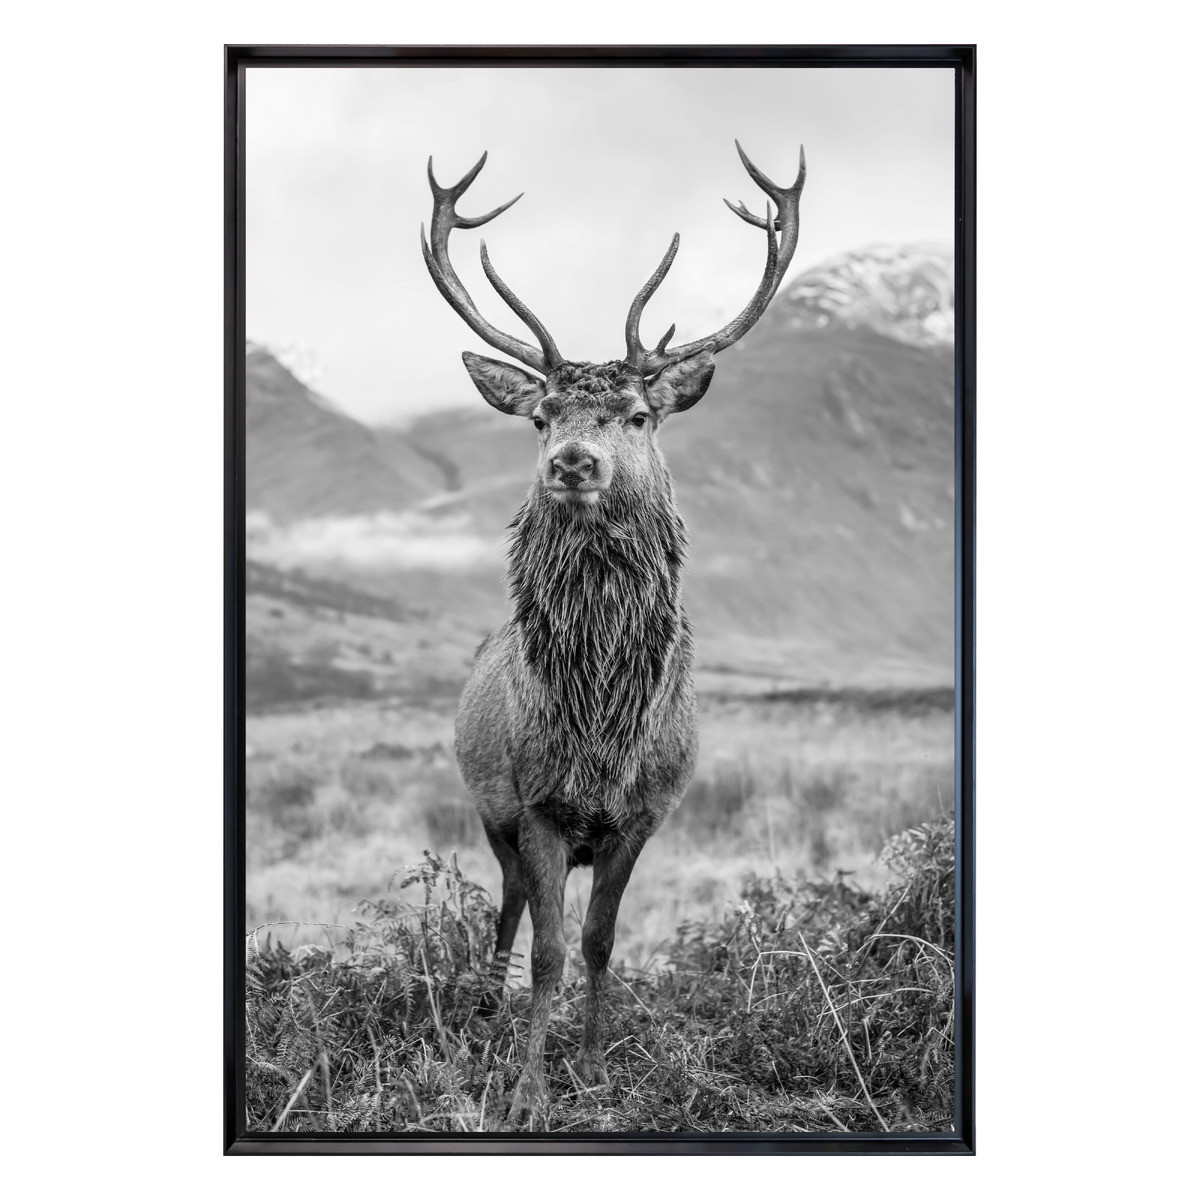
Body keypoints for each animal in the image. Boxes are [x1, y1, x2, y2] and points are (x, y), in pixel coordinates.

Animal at [420, 141, 805, 1124]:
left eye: (638, 414)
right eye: (540, 415)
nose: (573, 462)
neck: (601, 727)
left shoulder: (645, 813)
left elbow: (599, 941)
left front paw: (593, 1067)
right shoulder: (538, 806)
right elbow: (551, 948)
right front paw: (527, 1089)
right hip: (489, 806)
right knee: (508, 907)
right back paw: (485, 1011)